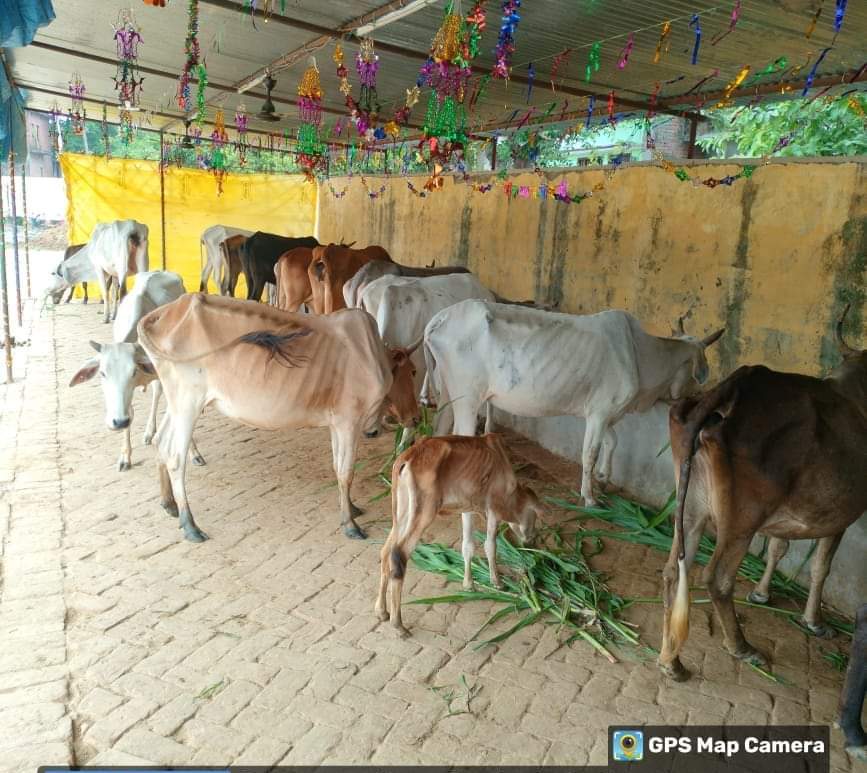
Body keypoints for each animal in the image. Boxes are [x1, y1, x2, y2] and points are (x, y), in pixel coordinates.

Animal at [69, 271, 205, 472]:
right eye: (102, 373)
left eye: (133, 372)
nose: (118, 422)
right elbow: (130, 412)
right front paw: (125, 456)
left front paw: (194, 452)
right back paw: (149, 432)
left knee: (158, 392)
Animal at [136, 294, 420, 542]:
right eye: (414, 372)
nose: (417, 418)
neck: (372, 356)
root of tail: (169, 310)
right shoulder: (348, 422)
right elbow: (346, 472)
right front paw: (350, 524)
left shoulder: (336, 424)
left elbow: (337, 466)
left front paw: (351, 508)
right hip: (188, 402)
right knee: (175, 457)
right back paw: (190, 524)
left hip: (177, 404)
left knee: (161, 441)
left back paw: (169, 504)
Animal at [375, 433, 541, 636]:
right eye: (534, 516)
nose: (532, 540)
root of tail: (406, 458)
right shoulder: (493, 508)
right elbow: (490, 546)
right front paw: (497, 582)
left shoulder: (467, 508)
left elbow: (467, 546)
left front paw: (468, 584)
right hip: (423, 512)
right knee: (398, 555)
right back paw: (398, 624)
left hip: (401, 513)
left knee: (386, 551)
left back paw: (381, 611)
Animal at [422, 300, 724, 505]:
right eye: (691, 367)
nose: (684, 397)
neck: (640, 354)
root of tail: (441, 316)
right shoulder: (601, 412)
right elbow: (589, 453)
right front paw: (589, 496)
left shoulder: (603, 413)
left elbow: (612, 442)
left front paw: (604, 479)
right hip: (468, 398)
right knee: (460, 434)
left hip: (449, 392)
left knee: (440, 426)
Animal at [658, 307, 867, 681]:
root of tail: (734, 384)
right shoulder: (842, 515)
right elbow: (821, 567)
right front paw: (814, 622)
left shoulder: (787, 515)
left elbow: (777, 549)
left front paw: (762, 593)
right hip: (742, 519)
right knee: (718, 579)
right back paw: (741, 647)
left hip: (693, 507)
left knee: (673, 571)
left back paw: (671, 661)